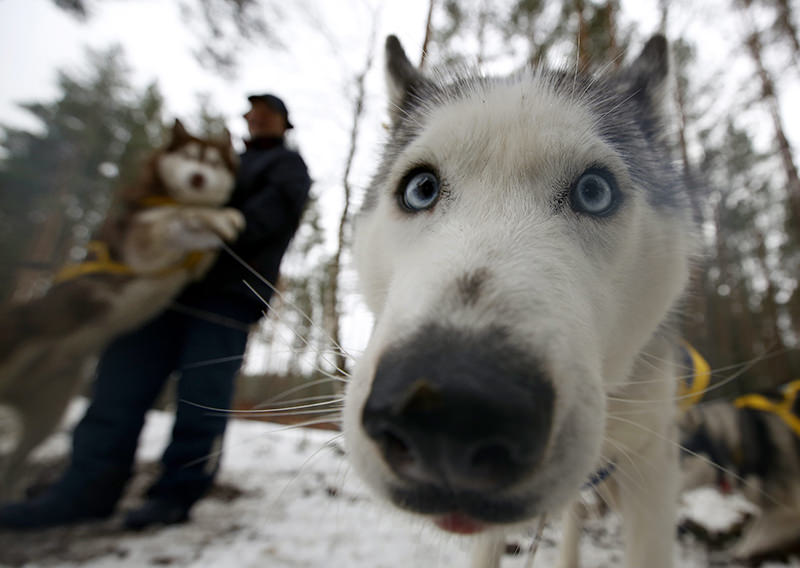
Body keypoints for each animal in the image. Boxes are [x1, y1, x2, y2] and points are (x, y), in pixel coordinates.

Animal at [0, 118, 244, 496]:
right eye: (189, 156)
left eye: (213, 162)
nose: (197, 178)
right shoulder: (144, 238)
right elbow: (174, 219)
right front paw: (212, 216)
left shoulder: (195, 265)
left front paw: (222, 219)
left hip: (50, 405)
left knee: (14, 463)